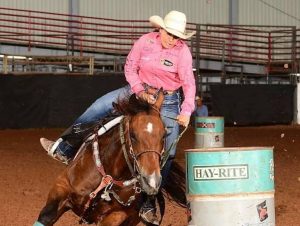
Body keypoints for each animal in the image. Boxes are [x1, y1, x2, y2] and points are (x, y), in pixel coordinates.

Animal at [34, 89, 169, 225]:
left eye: (164, 135)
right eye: (133, 135)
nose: (151, 181)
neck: (107, 177)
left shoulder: (119, 213)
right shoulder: (61, 185)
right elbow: (47, 215)